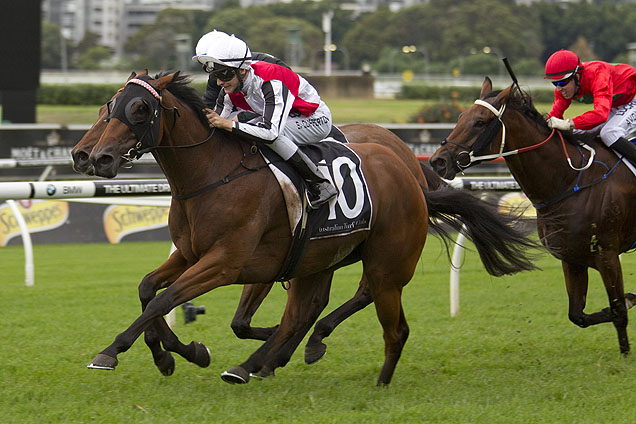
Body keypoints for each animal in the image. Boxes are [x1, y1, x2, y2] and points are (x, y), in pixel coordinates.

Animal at [79, 72, 536, 384]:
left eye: (139, 108)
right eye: (108, 105)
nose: (95, 157)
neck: (212, 174)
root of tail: (414, 175)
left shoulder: (225, 263)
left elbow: (165, 299)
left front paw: (114, 350)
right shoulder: (192, 255)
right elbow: (149, 291)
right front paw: (176, 352)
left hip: (382, 259)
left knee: (359, 299)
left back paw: (275, 357)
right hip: (321, 256)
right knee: (311, 308)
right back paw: (272, 356)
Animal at [428, 77, 636, 354]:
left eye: (480, 122)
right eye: (461, 116)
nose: (437, 162)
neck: (570, 180)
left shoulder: (607, 255)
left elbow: (618, 310)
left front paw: (625, 350)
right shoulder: (572, 258)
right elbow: (578, 315)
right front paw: (631, 299)